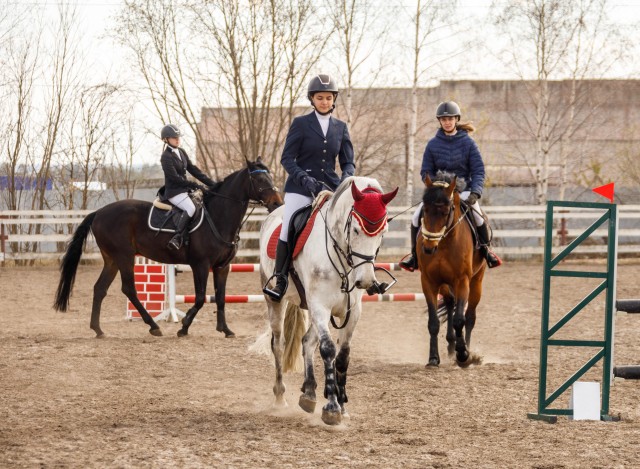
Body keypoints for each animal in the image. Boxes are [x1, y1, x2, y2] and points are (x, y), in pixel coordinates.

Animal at [53, 157, 284, 336]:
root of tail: (99, 213)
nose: (277, 203)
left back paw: (98, 330)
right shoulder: (200, 265)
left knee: (100, 288)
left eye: (270, 177)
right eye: (259, 179)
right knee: (128, 289)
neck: (218, 217)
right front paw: (184, 326)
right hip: (124, 257)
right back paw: (153, 326)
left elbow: (220, 298)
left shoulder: (222, 266)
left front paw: (225, 329)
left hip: (112, 259)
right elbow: (200, 298)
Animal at [254, 176, 396, 424]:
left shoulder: (352, 311)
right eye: (356, 229)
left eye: (382, 232)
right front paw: (331, 407)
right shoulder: (320, 306)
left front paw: (341, 404)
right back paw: (280, 397)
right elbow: (328, 349)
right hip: (276, 301)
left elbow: (342, 356)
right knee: (279, 345)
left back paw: (309, 392)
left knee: (307, 341)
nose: (366, 281)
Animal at [416, 172, 484, 366]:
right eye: (425, 210)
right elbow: (433, 322)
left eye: (446, 212)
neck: (444, 243)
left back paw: (466, 351)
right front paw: (433, 358)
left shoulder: (462, 281)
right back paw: (451, 345)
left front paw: (463, 354)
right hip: (445, 284)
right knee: (450, 302)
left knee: (470, 317)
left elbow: (460, 320)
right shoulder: (429, 282)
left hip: (476, 282)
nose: (428, 248)